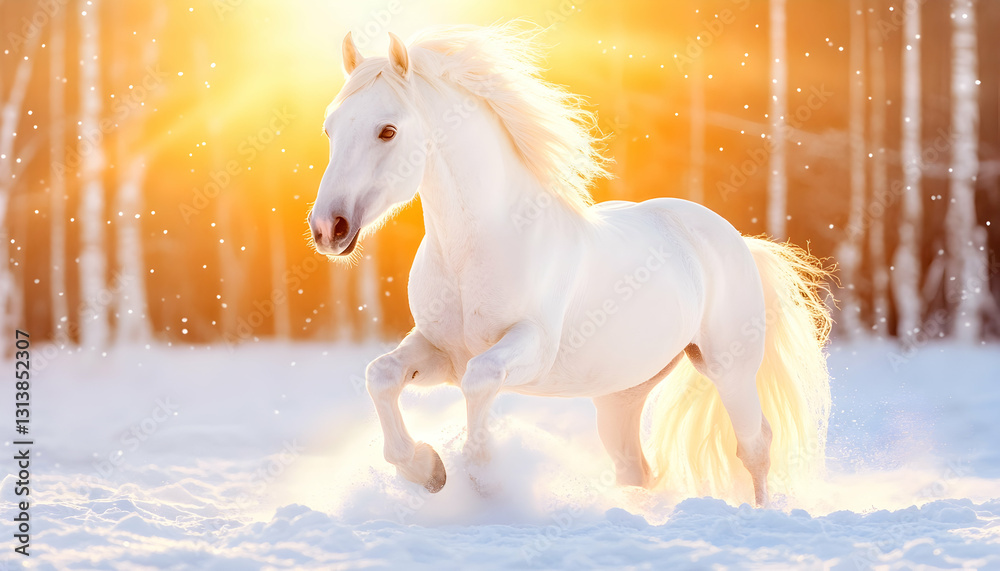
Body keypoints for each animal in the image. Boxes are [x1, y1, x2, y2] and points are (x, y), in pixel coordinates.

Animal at [308, 24, 832, 508]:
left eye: (388, 130)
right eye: (329, 128)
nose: (328, 228)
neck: (476, 249)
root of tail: (735, 239)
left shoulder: (527, 349)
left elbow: (480, 381)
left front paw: (483, 480)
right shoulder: (439, 350)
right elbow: (381, 375)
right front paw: (427, 470)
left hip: (729, 368)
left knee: (755, 447)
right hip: (621, 393)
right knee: (635, 468)